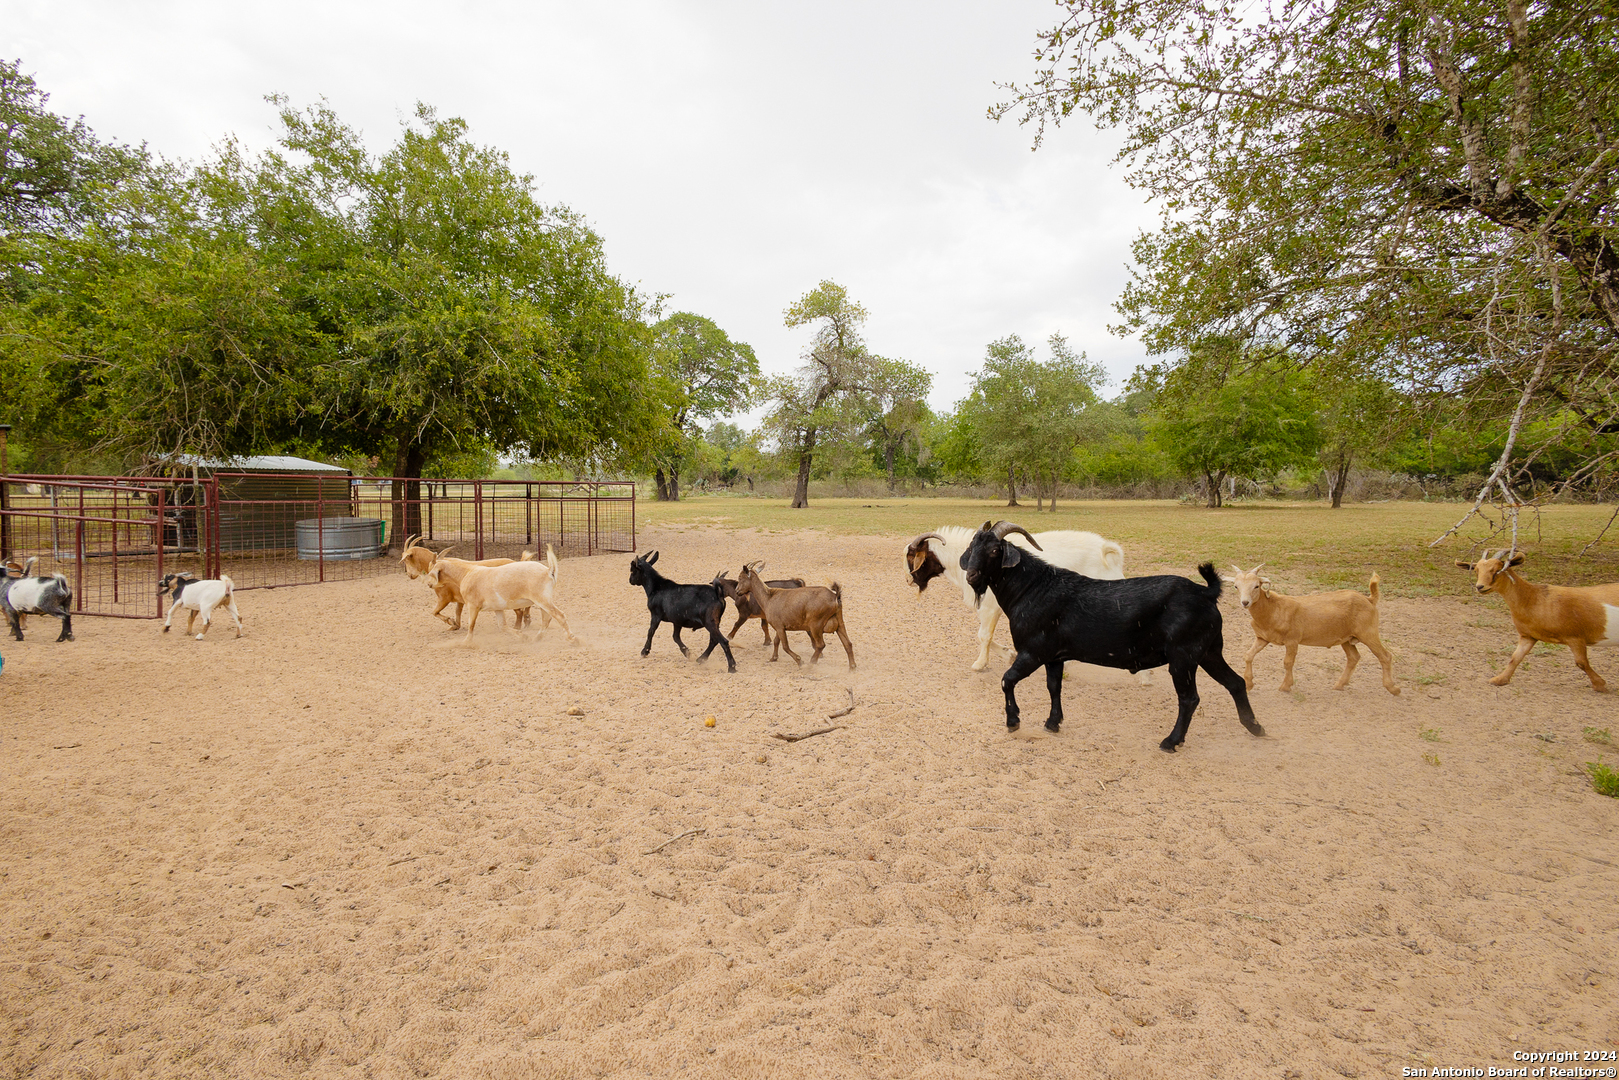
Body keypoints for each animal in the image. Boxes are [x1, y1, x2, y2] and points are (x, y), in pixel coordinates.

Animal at [433, 550, 579, 650]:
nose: (430, 584)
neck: (466, 573)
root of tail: (549, 570)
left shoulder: (473, 606)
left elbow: (471, 625)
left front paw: (466, 643)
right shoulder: (497, 608)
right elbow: (502, 626)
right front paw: (523, 637)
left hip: (542, 600)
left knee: (559, 616)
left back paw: (573, 639)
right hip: (543, 601)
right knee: (546, 619)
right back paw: (536, 639)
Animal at [913, 524, 1152, 683]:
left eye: (912, 554)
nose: (909, 580)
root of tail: (1107, 551)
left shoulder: (990, 608)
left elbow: (983, 636)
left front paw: (980, 664)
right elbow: (984, 636)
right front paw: (1008, 654)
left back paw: (1144, 677)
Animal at [951, 521, 1256, 757]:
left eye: (994, 550)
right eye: (972, 549)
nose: (972, 575)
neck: (1032, 589)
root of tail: (1206, 593)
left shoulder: (1032, 652)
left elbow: (1007, 680)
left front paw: (1013, 721)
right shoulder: (1054, 656)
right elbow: (1054, 687)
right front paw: (1053, 723)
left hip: (1184, 657)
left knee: (1189, 699)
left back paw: (1171, 742)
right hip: (1209, 651)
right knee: (1235, 683)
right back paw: (1255, 727)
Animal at [1217, 563, 1398, 696]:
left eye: (1256, 586)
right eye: (1236, 586)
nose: (1245, 602)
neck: (1273, 609)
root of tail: (1370, 599)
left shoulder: (1292, 640)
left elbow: (1288, 662)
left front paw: (1285, 686)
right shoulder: (1263, 638)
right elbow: (1248, 655)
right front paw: (1249, 683)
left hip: (1368, 632)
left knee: (1385, 656)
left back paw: (1393, 688)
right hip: (1346, 638)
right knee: (1353, 657)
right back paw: (1339, 684)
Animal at [1457, 550, 1619, 693]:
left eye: (1497, 570)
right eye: (1476, 570)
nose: (1480, 587)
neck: (1534, 598)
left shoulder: (1575, 637)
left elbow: (1581, 663)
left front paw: (1600, 685)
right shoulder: (1528, 636)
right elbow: (1515, 658)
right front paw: (1499, 680)